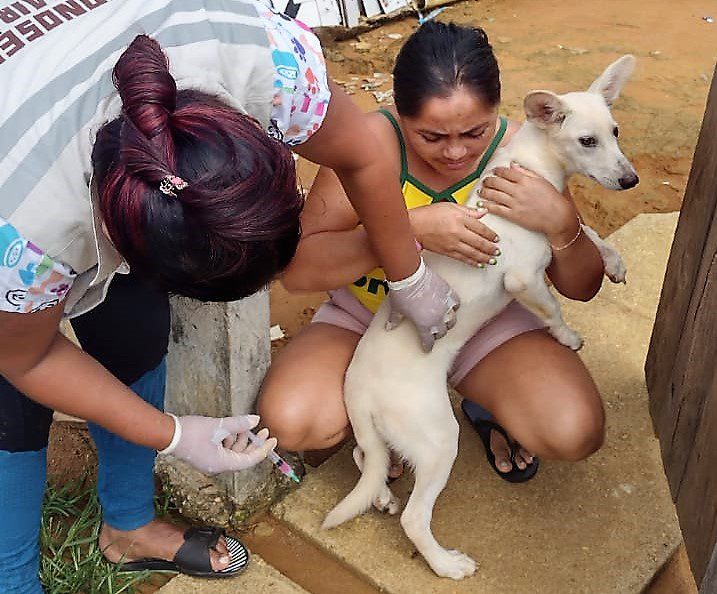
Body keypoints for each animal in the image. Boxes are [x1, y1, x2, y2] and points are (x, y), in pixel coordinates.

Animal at [322, 56, 636, 580]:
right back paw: (446, 564)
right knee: (413, 517)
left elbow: (582, 229)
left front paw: (612, 261)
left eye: (614, 132)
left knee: (365, 455)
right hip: (437, 440)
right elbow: (553, 305)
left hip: (385, 437)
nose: (631, 181)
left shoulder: (553, 226)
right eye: (587, 141)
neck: (531, 165)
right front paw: (567, 335)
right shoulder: (524, 279)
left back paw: (381, 494)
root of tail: (357, 390)